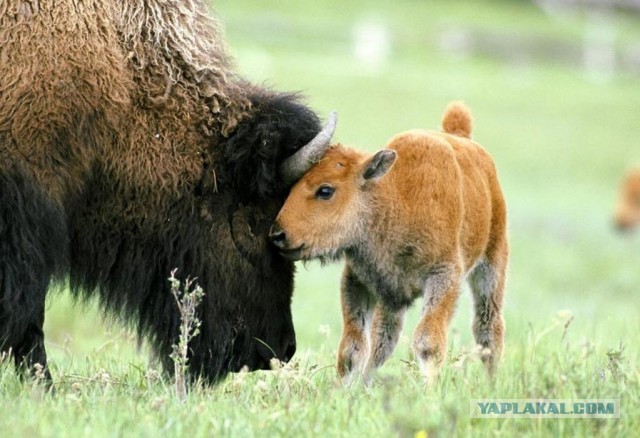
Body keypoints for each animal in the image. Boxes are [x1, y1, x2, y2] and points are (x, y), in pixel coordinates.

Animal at [272, 102, 508, 384]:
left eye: (325, 190)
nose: (278, 234)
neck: (394, 198)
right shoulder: (360, 282)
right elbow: (352, 348)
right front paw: (343, 389)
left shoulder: (444, 276)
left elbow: (427, 341)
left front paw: (430, 389)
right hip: (392, 299)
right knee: (383, 341)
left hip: (491, 266)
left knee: (487, 329)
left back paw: (492, 384)